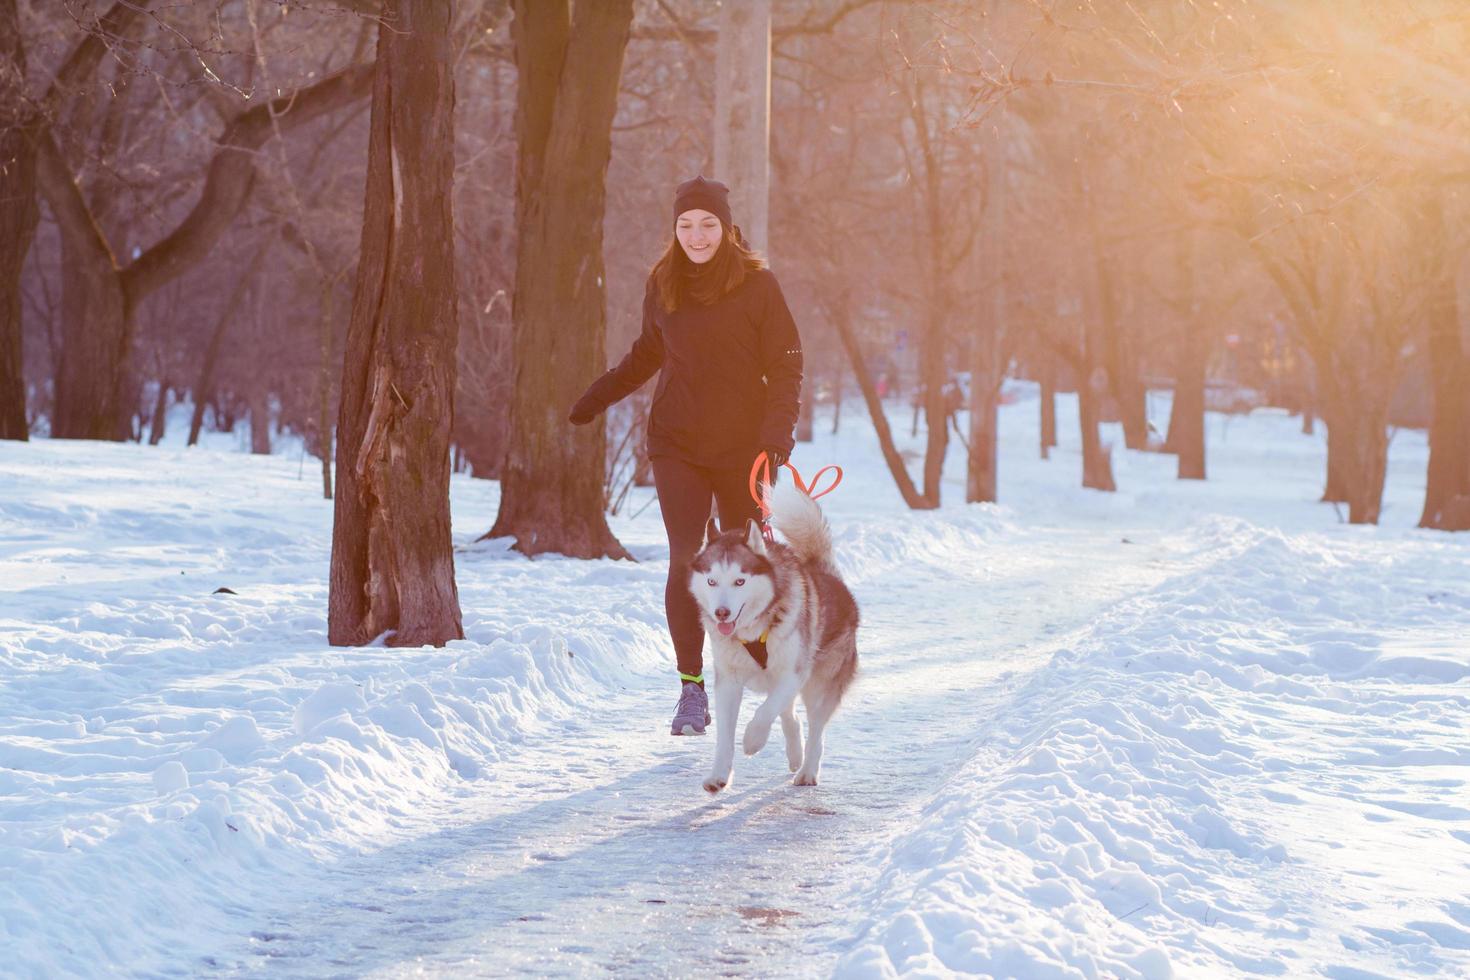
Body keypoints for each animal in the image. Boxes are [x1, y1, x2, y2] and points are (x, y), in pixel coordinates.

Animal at [687, 478, 858, 793]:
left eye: (740, 581)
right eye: (712, 581)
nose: (721, 613)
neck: (754, 629)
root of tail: (826, 574)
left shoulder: (793, 672)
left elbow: (765, 712)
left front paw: (753, 740)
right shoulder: (728, 681)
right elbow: (725, 735)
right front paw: (718, 776)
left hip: (820, 684)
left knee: (815, 728)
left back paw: (807, 770)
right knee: (792, 716)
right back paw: (795, 753)